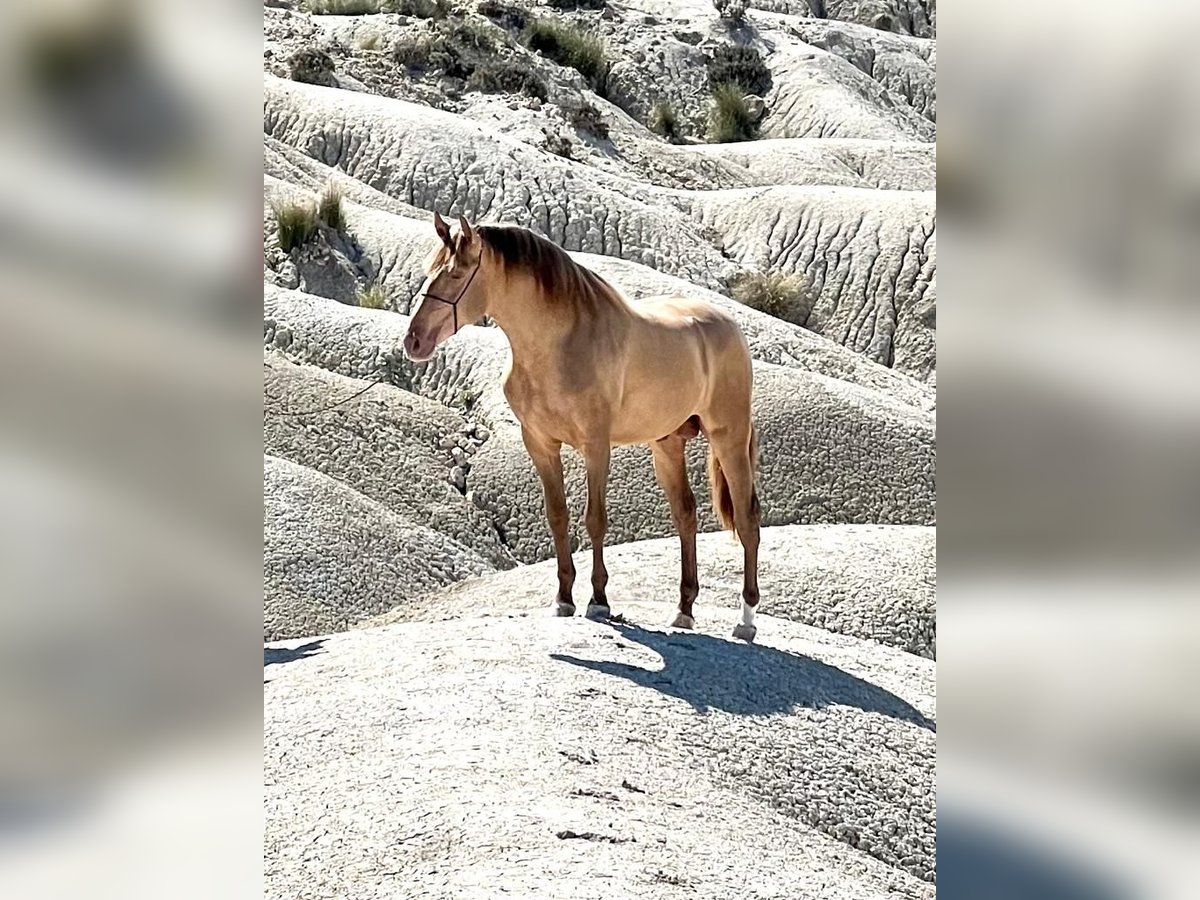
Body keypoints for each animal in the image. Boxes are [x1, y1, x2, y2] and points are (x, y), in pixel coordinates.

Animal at [403, 214, 758, 643]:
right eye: (430, 271)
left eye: (455, 274)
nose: (413, 341)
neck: (560, 345)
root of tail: (729, 326)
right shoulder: (540, 444)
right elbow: (558, 516)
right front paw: (563, 598)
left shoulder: (596, 446)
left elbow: (595, 519)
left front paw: (599, 601)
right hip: (667, 444)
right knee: (685, 515)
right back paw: (684, 611)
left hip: (729, 437)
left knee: (747, 519)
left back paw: (746, 621)